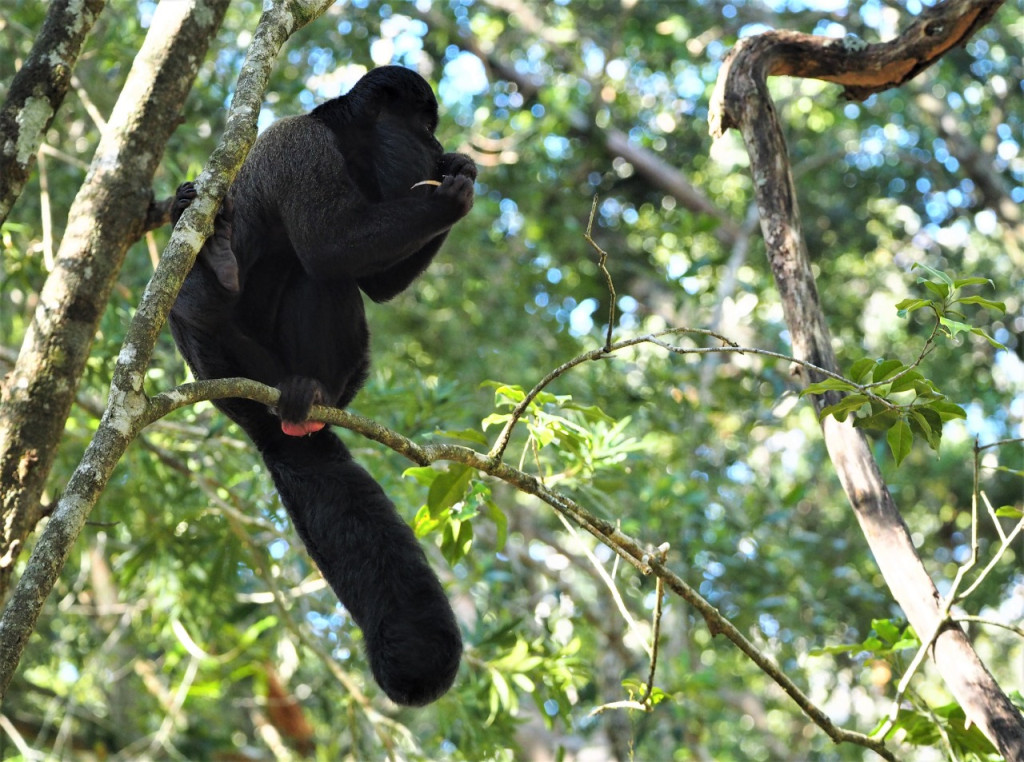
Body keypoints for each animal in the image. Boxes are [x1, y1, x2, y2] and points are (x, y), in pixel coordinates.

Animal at [168, 66, 477, 706]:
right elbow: (331, 244)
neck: (349, 141)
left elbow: (377, 285)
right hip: (231, 363)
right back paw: (219, 271)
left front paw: (464, 172)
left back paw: (313, 394)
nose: (439, 147)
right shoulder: (301, 147)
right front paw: (449, 195)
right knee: (307, 276)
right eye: (425, 126)